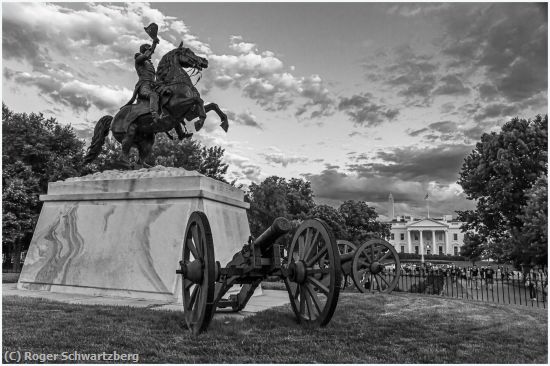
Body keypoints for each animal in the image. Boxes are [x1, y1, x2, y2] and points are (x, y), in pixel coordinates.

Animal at [82, 42, 229, 169]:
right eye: (188, 51)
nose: (205, 61)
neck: (177, 83)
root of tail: (113, 118)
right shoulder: (178, 107)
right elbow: (199, 101)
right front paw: (200, 123)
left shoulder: (188, 114)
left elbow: (212, 105)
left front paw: (224, 123)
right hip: (129, 132)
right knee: (124, 152)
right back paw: (127, 164)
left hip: (147, 139)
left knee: (141, 158)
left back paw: (147, 166)